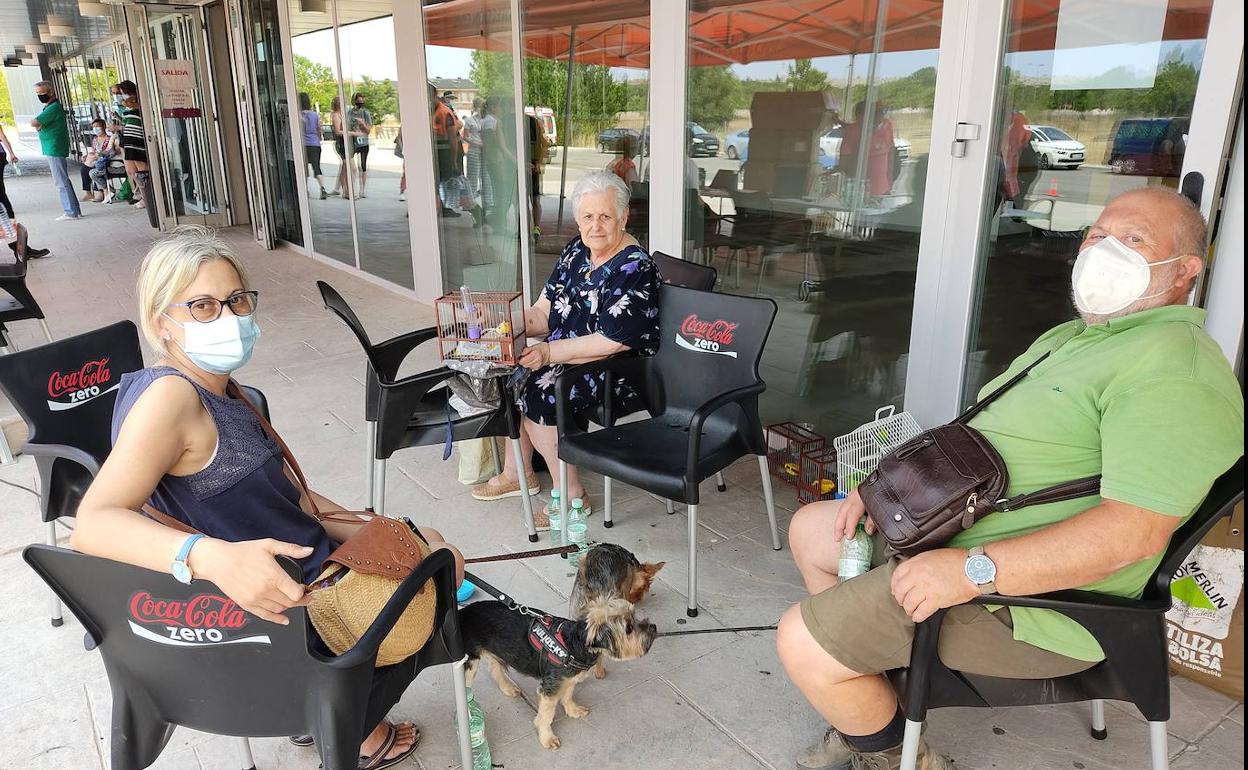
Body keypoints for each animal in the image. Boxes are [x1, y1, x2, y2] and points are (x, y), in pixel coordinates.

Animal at [461, 596, 658, 748]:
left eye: (635, 616)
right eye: (629, 628)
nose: (654, 627)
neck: (576, 643)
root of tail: (462, 612)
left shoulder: (568, 679)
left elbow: (568, 695)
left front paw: (573, 710)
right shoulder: (550, 688)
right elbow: (547, 715)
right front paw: (547, 738)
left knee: (495, 668)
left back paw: (508, 688)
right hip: (470, 662)